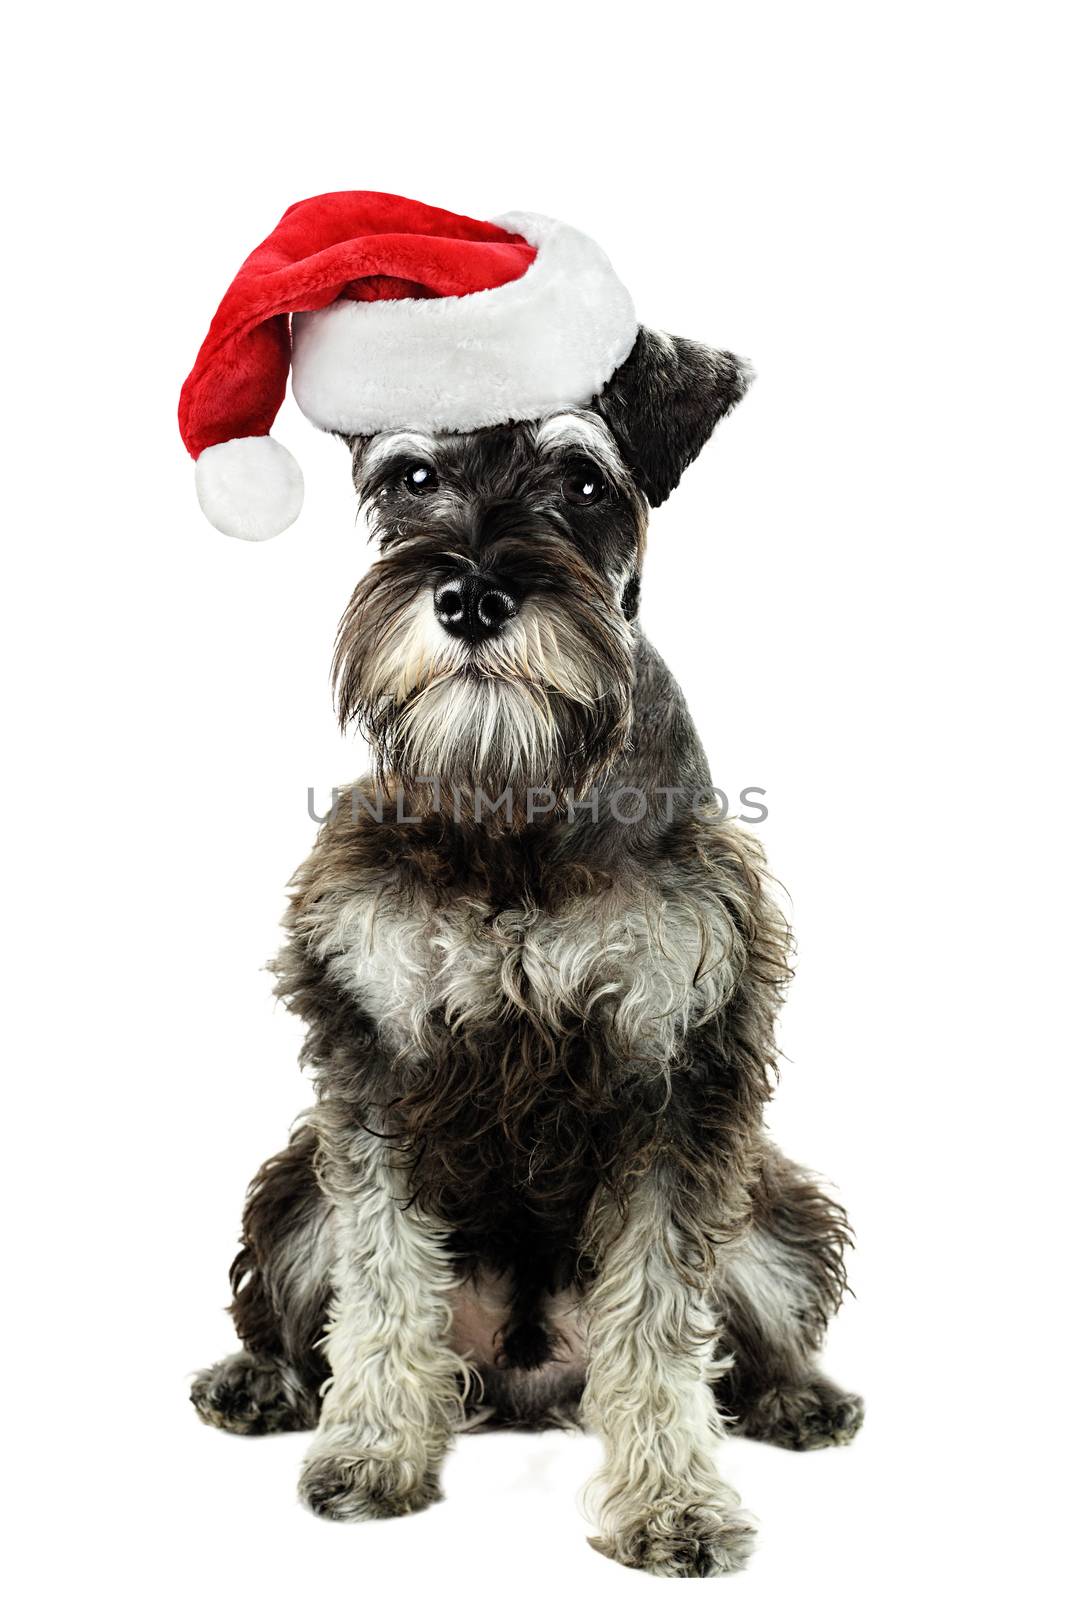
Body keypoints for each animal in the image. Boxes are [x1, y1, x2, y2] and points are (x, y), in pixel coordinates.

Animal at [189, 324, 857, 1574]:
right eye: (412, 476)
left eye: (583, 480)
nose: (468, 596)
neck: (512, 797)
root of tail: (521, 1376)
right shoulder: (375, 1059)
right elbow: (381, 1278)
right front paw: (372, 1452)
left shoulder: (677, 1069)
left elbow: (661, 1320)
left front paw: (671, 1503)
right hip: (293, 1183)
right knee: (297, 1308)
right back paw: (262, 1381)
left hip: (771, 1205)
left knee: (748, 1336)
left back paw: (798, 1395)